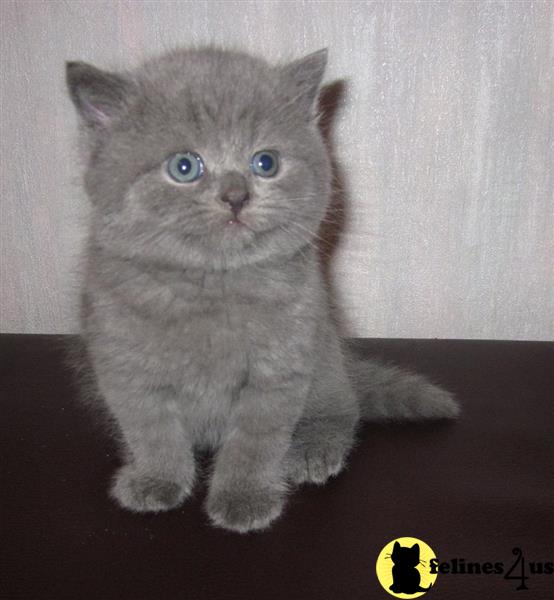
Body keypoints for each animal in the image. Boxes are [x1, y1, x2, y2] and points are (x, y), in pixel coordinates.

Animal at [66, 48, 458, 536]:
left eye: (265, 163)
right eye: (184, 167)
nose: (236, 196)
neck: (212, 288)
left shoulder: (281, 366)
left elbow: (255, 440)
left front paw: (244, 497)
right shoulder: (122, 364)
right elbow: (152, 430)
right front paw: (158, 479)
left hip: (324, 359)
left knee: (342, 408)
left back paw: (313, 450)